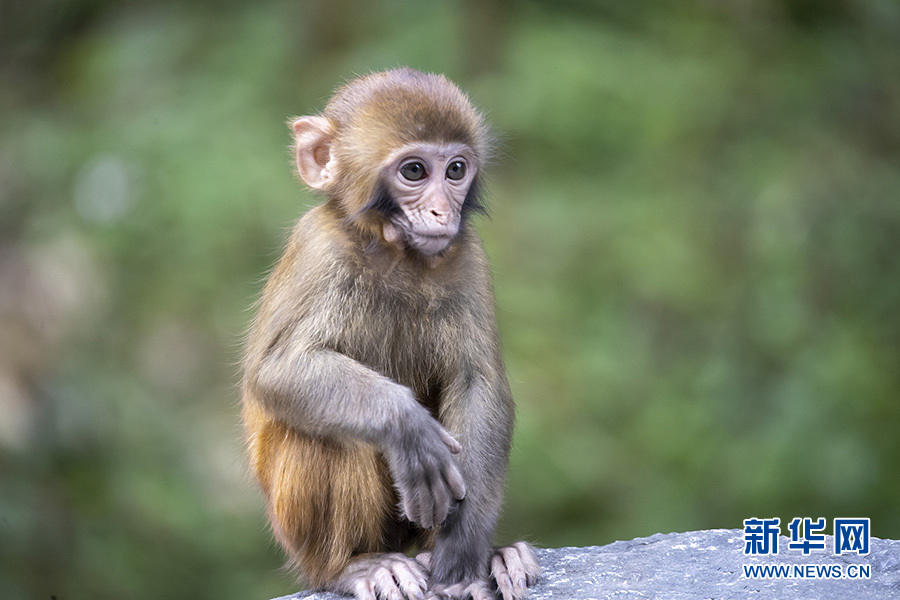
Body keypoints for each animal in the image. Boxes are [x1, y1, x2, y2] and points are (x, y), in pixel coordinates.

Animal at [241, 68, 540, 600]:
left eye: (456, 169)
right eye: (415, 172)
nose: (443, 211)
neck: (394, 250)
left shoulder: (469, 256)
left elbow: (477, 382)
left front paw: (464, 550)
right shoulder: (319, 248)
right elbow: (278, 370)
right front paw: (407, 427)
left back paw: (494, 554)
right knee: (328, 436)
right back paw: (355, 566)